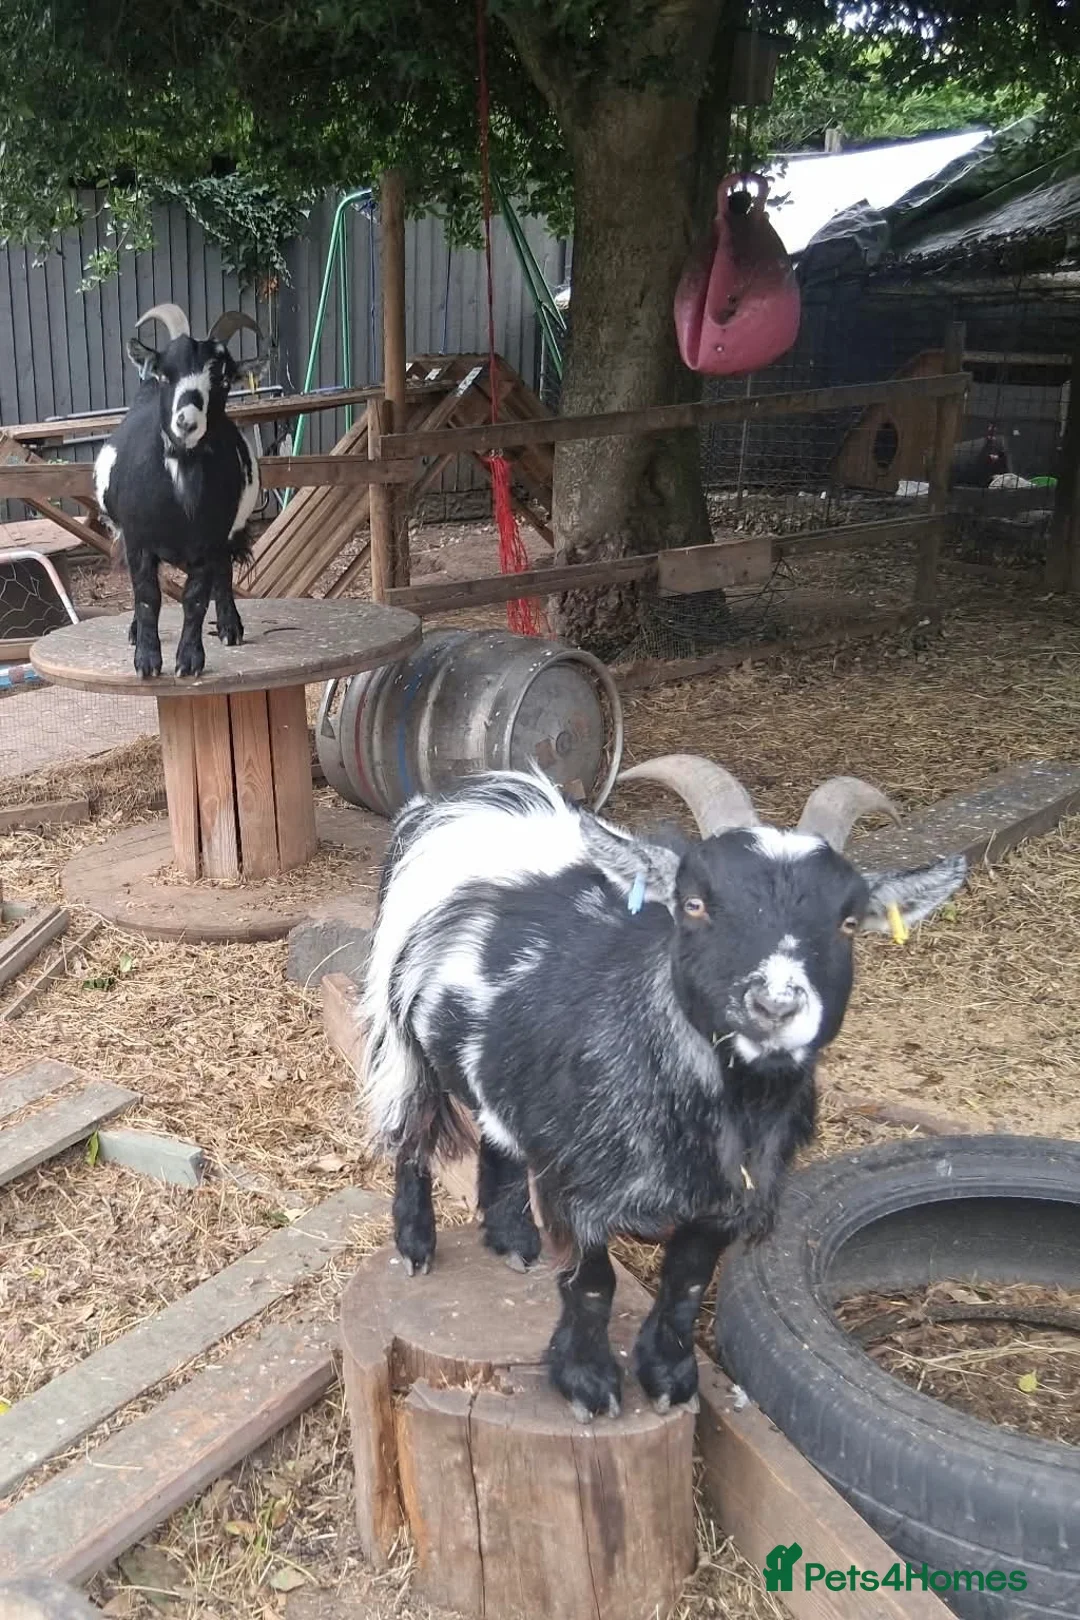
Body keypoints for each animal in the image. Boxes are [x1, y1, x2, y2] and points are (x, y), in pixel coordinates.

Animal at [93, 303, 267, 678]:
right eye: (165, 374)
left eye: (223, 379)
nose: (186, 422)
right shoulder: (138, 539)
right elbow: (147, 596)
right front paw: (146, 661)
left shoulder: (209, 541)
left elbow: (196, 598)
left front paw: (189, 661)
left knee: (223, 573)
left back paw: (230, 627)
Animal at [359, 758, 966, 1422]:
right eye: (694, 903)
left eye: (849, 922)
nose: (776, 1006)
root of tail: (482, 796)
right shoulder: (578, 1184)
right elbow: (593, 1284)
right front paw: (588, 1383)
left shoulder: (726, 1201)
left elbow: (688, 1281)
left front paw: (669, 1377)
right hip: (400, 1032)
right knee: (410, 1133)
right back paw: (415, 1243)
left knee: (497, 1127)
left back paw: (512, 1238)